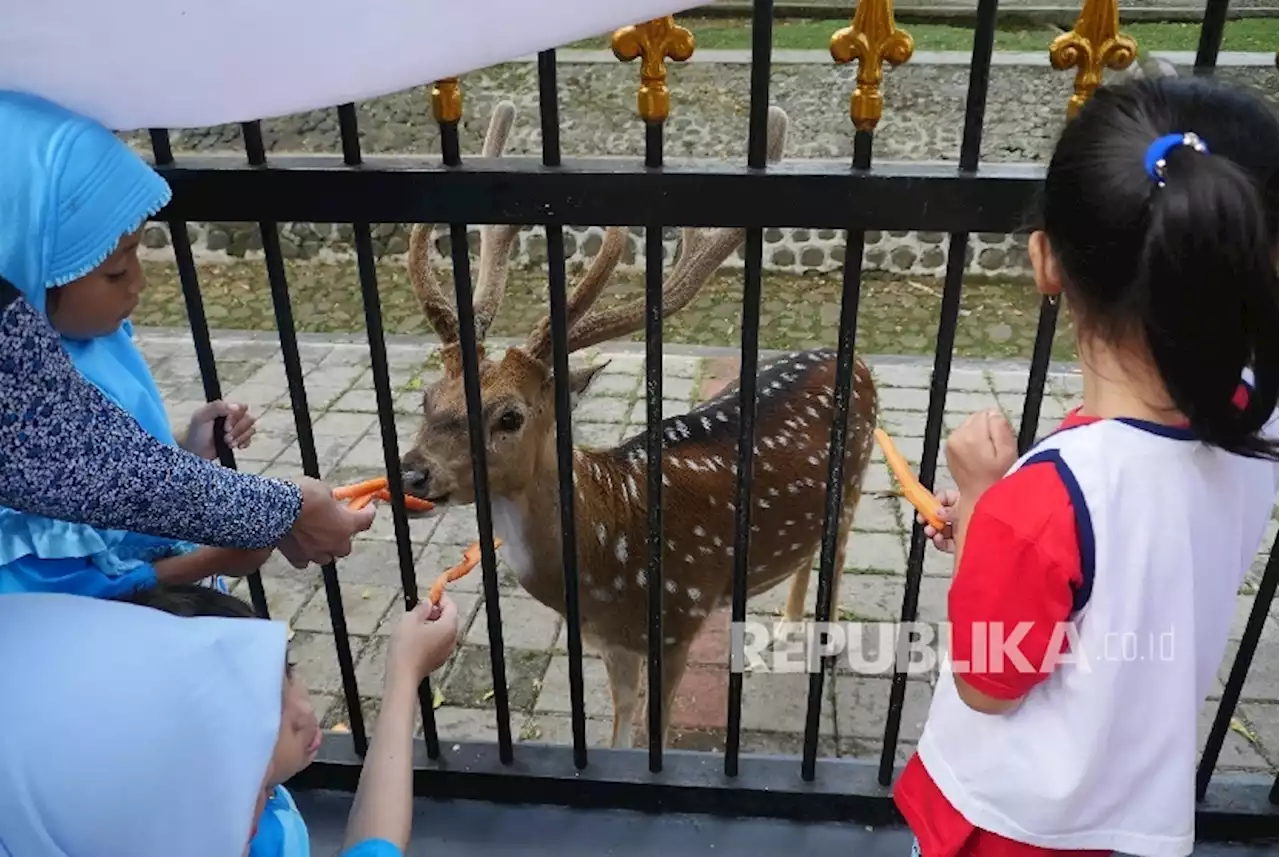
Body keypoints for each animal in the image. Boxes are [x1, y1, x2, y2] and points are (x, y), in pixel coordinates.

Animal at [399, 101, 880, 746]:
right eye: (427, 397)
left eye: (511, 416)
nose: (411, 473)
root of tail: (855, 360)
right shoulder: (610, 641)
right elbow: (621, 723)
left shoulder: (680, 619)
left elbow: (657, 728)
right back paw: (783, 625)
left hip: (854, 485)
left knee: (839, 556)